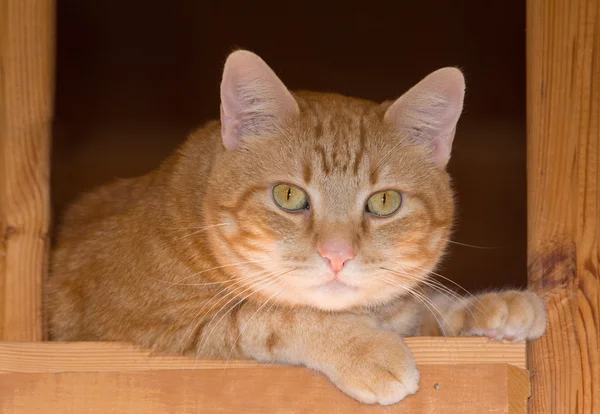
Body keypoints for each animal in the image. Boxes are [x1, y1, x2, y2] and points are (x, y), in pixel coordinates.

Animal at [45, 50, 544, 406]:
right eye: (289, 196)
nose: (337, 255)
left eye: (384, 202)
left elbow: (417, 310)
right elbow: (273, 315)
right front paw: (366, 349)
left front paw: (489, 307)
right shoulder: (147, 320)